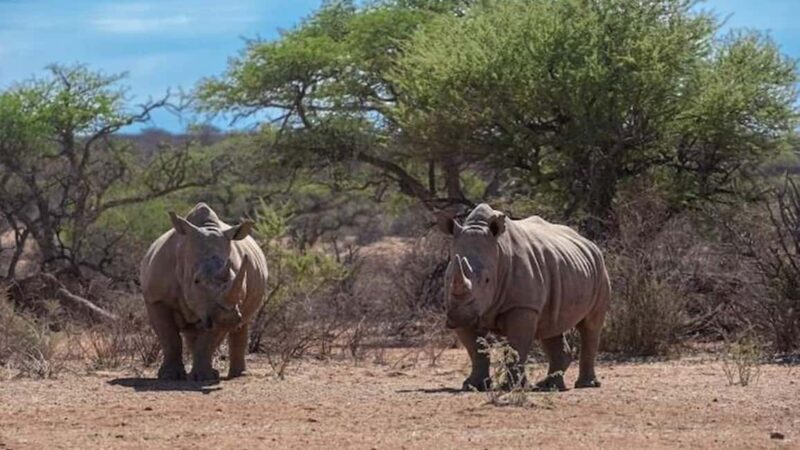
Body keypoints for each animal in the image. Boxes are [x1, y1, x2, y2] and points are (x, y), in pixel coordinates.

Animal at [140, 203, 268, 381]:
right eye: (196, 281)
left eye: (235, 277)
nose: (228, 319)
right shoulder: (156, 299)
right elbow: (169, 337)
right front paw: (170, 376)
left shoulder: (218, 309)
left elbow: (208, 340)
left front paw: (204, 377)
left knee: (243, 322)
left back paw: (238, 374)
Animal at [437, 203, 611, 391]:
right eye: (447, 278)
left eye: (487, 280)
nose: (458, 317)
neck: (499, 252)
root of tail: (589, 242)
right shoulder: (466, 306)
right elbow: (475, 349)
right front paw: (472, 386)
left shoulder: (522, 306)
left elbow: (517, 345)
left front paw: (513, 387)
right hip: (562, 265)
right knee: (551, 327)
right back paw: (549, 386)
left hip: (600, 268)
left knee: (590, 325)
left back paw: (586, 384)